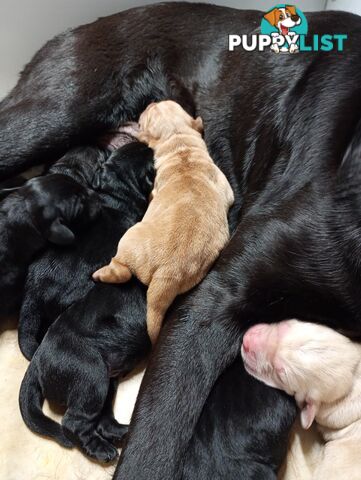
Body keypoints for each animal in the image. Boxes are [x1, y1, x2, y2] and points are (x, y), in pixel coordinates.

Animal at [93, 99, 233, 344]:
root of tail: (166, 274)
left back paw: (100, 274)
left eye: (146, 117)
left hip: (129, 238)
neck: (180, 144)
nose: (152, 101)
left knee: (122, 270)